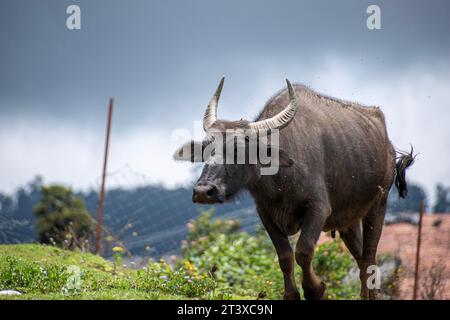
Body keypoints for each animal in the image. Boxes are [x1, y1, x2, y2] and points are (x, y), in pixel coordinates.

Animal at [173, 77, 414, 300]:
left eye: (239, 149)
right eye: (207, 148)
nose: (203, 191)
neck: (280, 182)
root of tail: (389, 147)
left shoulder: (318, 209)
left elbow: (303, 251)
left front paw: (316, 289)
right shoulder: (265, 214)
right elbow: (285, 256)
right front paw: (291, 294)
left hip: (378, 204)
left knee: (370, 259)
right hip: (349, 220)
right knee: (363, 260)